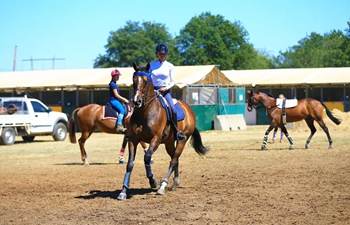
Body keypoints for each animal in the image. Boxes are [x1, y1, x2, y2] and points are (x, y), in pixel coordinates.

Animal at [117, 62, 211, 200]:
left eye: (146, 81)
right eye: (134, 80)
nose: (136, 101)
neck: (144, 112)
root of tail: (189, 109)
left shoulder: (155, 139)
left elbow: (147, 157)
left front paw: (153, 182)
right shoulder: (133, 140)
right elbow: (130, 164)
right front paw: (123, 191)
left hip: (182, 140)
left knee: (173, 160)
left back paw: (163, 186)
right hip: (169, 143)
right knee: (175, 159)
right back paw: (175, 183)